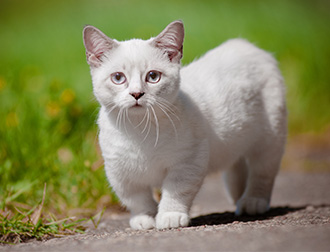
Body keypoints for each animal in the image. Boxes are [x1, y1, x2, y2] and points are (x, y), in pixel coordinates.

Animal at [82, 20, 286, 229]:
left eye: (153, 76)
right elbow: (136, 198)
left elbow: (176, 191)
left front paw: (170, 216)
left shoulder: (187, 161)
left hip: (270, 138)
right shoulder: (119, 171)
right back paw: (239, 199)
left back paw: (252, 201)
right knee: (236, 168)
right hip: (236, 143)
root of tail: (245, 45)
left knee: (262, 173)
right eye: (118, 78)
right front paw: (144, 218)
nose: (136, 94)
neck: (139, 131)